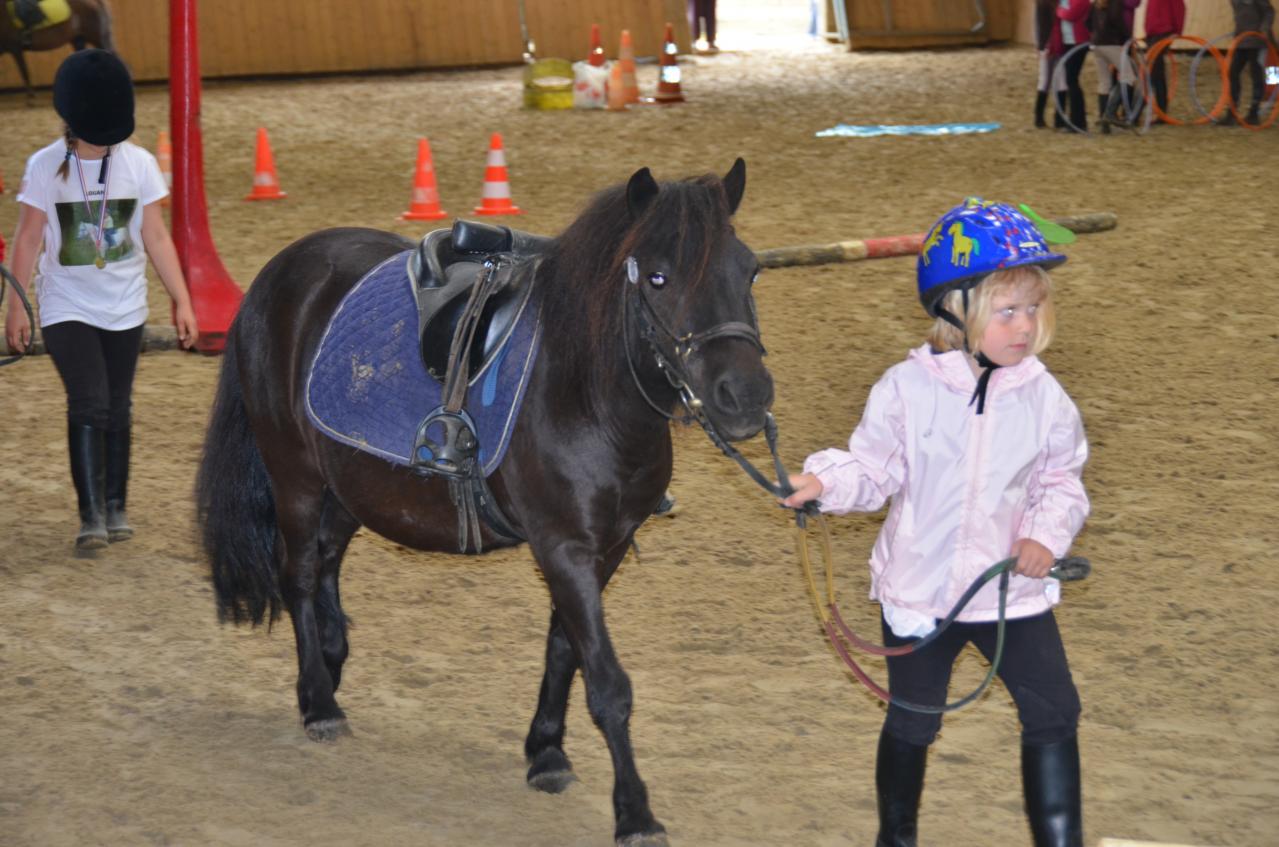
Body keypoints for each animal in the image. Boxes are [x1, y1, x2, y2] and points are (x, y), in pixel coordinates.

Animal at [195, 162, 772, 844]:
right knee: (301, 576)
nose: (746, 396)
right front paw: (635, 811)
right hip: (297, 477)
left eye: (750, 269)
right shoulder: (564, 550)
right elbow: (608, 683)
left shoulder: (604, 550)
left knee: (327, 564)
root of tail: (280, 271)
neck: (586, 394)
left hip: (349, 484)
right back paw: (319, 701)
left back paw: (330, 666)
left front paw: (545, 752)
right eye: (658, 277)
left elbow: (565, 652)